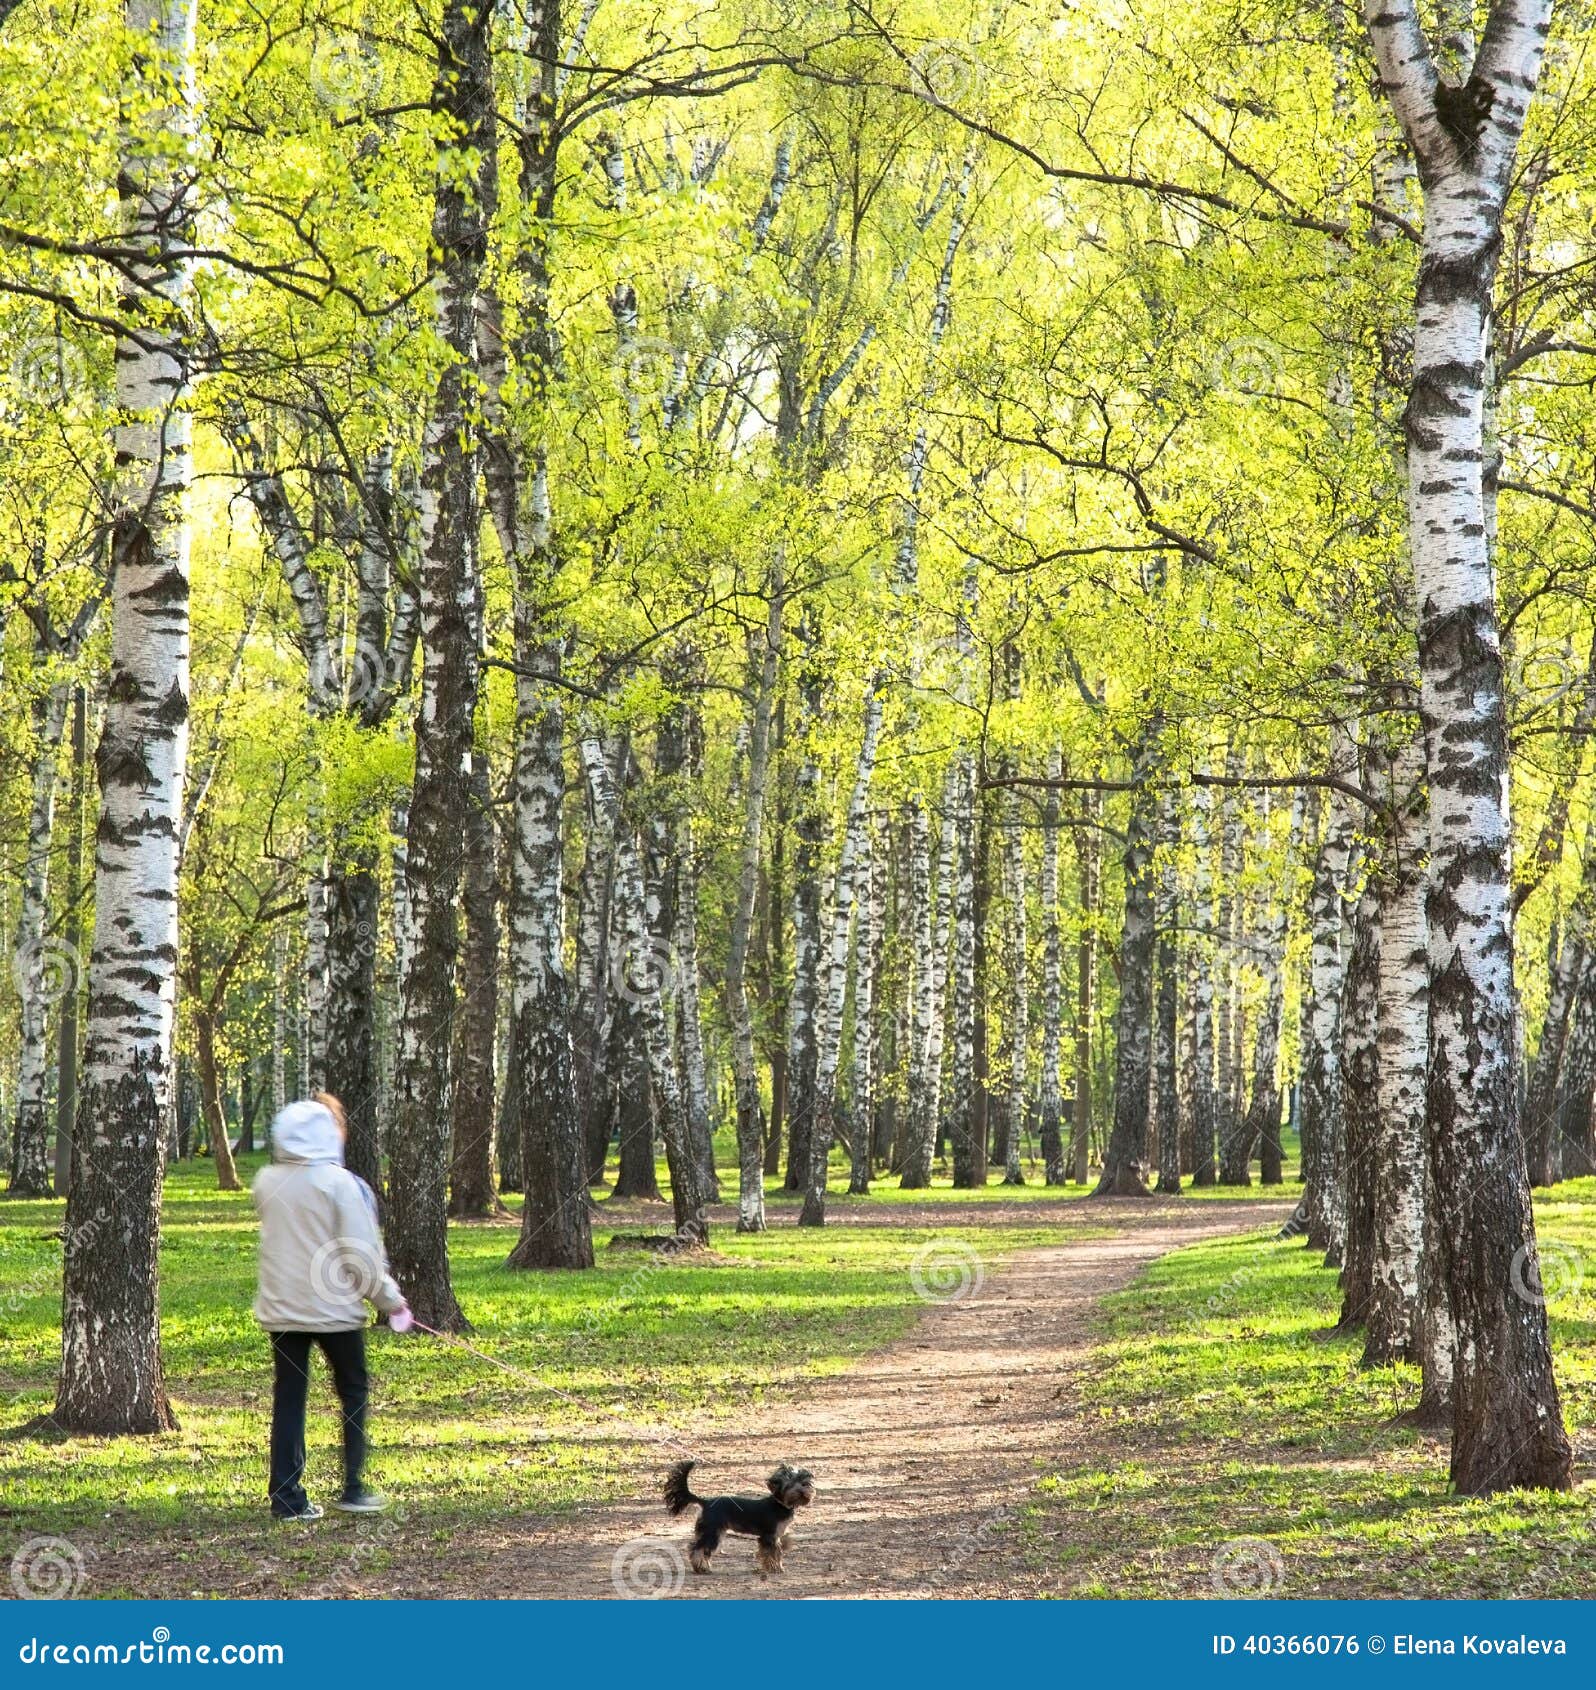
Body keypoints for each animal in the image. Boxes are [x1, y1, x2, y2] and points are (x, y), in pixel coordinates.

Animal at [662, 1460, 818, 1575]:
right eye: (789, 1485)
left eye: (804, 1484)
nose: (802, 1492)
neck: (780, 1504)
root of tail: (706, 1502)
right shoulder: (770, 1536)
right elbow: (772, 1553)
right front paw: (776, 1568)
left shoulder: (772, 1537)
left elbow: (768, 1553)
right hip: (712, 1532)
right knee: (697, 1548)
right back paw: (701, 1568)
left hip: (715, 1531)